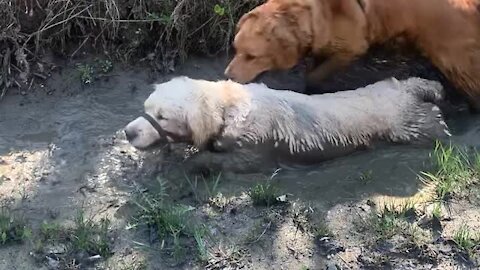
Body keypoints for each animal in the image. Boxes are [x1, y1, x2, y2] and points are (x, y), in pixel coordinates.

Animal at [124, 76, 450, 173]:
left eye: (163, 116)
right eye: (147, 108)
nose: (128, 132)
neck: (230, 107)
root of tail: (406, 87)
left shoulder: (254, 152)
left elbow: (218, 159)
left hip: (412, 126)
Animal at [224, 0, 480, 110]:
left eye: (251, 56)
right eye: (236, 49)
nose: (227, 75)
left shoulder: (351, 46)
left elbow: (315, 74)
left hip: (452, 54)